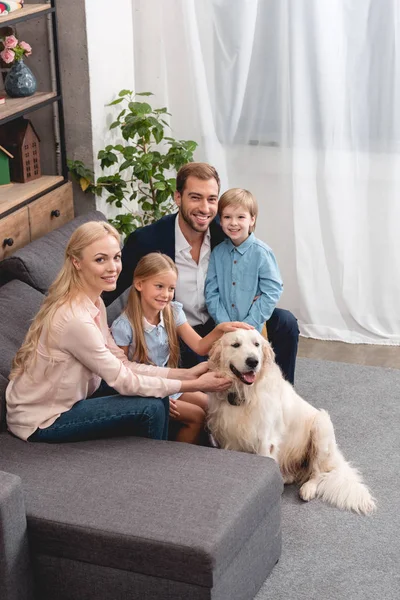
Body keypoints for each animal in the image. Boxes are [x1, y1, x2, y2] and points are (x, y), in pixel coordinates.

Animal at [208, 328, 376, 516]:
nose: (253, 361)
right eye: (235, 345)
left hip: (321, 426)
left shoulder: (265, 442)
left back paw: (307, 488)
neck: (245, 393)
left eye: (256, 344)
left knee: (317, 472)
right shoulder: (230, 439)